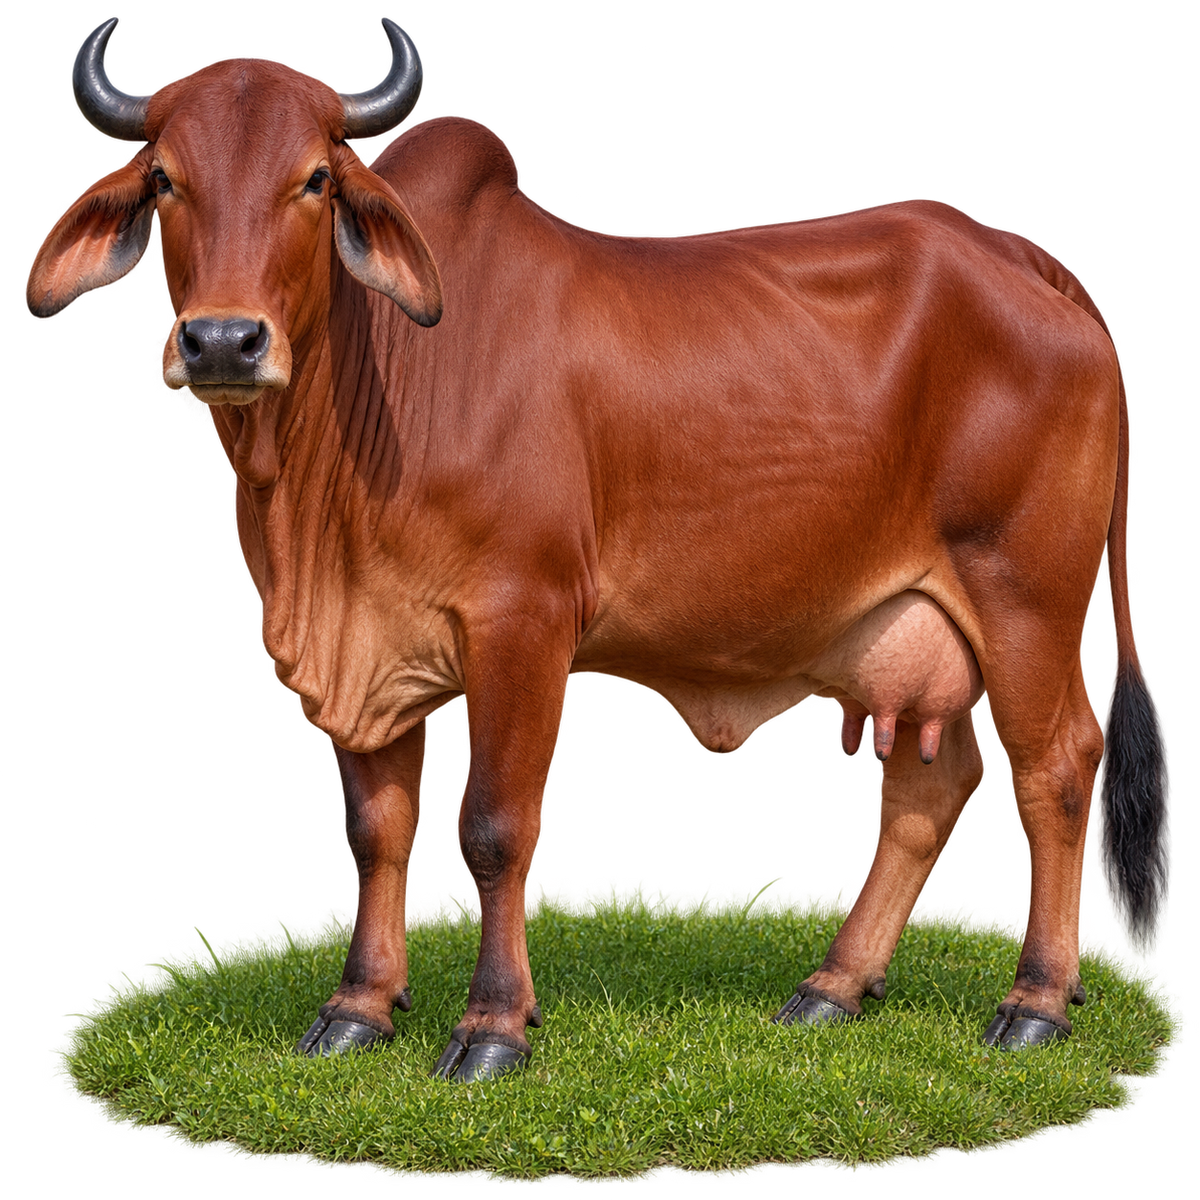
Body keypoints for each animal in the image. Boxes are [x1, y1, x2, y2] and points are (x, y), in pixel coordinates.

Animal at [25, 15, 1172, 1084]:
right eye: (164, 178)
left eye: (313, 178)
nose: (223, 341)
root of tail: (1009, 251)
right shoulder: (365, 647)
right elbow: (375, 832)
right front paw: (357, 1010)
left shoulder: (522, 622)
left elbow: (492, 828)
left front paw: (492, 1028)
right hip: (916, 626)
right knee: (932, 790)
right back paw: (832, 990)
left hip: (1025, 599)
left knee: (1056, 769)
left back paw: (1036, 1003)